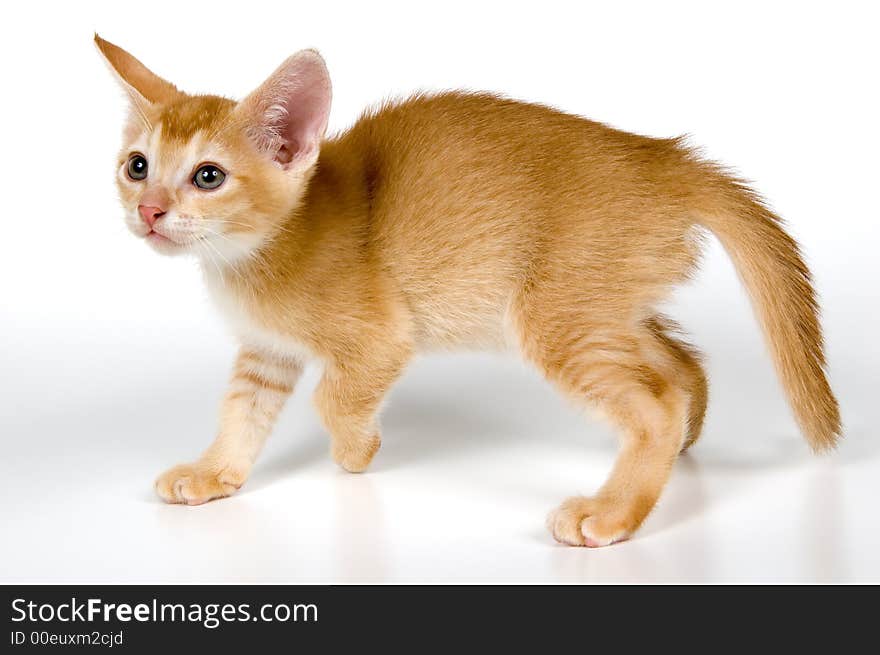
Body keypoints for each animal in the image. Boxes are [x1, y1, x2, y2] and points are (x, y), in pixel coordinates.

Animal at [94, 36, 840, 548]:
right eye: (137, 166)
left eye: (208, 176)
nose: (150, 211)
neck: (255, 256)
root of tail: (665, 158)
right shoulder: (265, 351)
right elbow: (242, 412)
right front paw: (215, 472)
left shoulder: (381, 336)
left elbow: (335, 398)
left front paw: (356, 454)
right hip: (607, 306)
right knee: (683, 368)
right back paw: (677, 450)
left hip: (555, 317)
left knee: (657, 401)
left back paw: (612, 510)